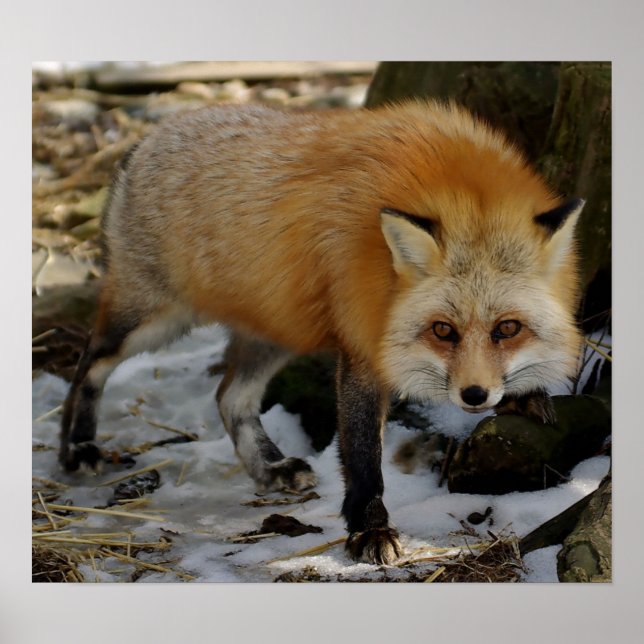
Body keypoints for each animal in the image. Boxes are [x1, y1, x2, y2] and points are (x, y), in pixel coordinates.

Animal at [59, 100, 584, 565]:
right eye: (442, 330)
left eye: (508, 328)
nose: (475, 395)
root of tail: (151, 136)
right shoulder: (362, 341)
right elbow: (363, 457)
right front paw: (370, 530)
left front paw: (527, 393)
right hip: (154, 319)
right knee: (89, 361)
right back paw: (77, 446)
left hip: (276, 328)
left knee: (229, 397)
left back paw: (269, 467)